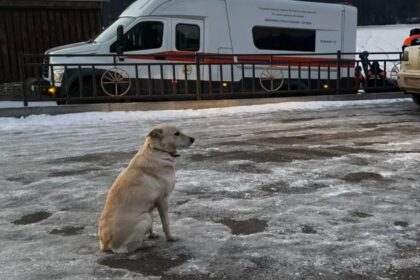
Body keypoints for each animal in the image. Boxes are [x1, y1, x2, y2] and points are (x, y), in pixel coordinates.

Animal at [99, 123, 195, 253]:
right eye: (176, 133)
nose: (193, 139)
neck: (158, 151)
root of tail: (105, 245)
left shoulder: (151, 204)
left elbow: (154, 225)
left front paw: (152, 234)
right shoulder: (163, 200)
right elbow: (166, 223)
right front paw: (170, 238)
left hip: (147, 215)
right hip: (145, 218)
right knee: (128, 247)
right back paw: (146, 244)